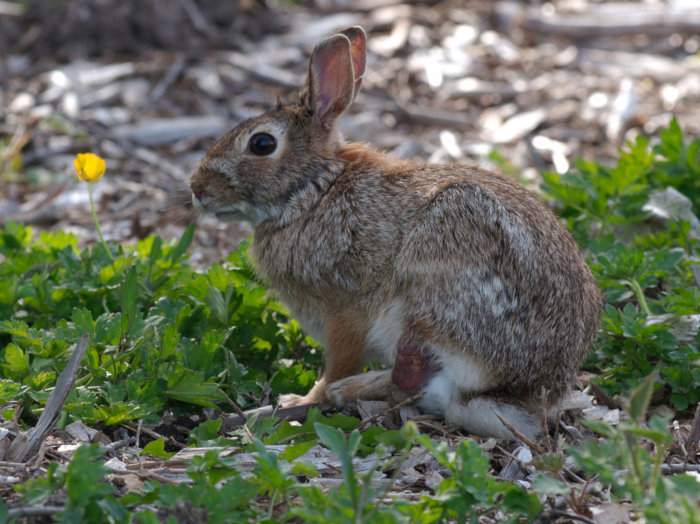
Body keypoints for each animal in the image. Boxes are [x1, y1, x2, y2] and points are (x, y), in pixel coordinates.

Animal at [190, 26, 600, 440]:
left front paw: (303, 399)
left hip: (431, 286)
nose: (197, 189)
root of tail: (531, 392)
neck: (314, 191)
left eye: (262, 144)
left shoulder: (345, 312)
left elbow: (338, 361)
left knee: (411, 376)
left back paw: (347, 390)